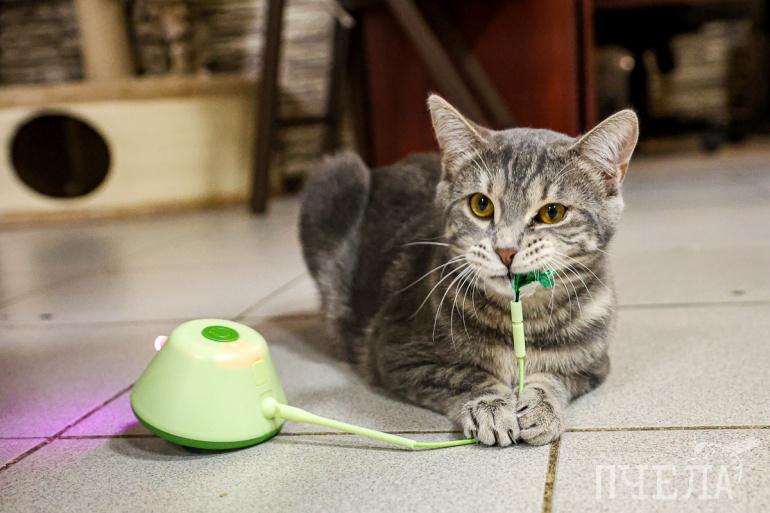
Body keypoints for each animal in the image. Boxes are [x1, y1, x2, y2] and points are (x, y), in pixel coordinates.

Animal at [299, 94, 638, 446]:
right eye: (481, 205)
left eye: (553, 213)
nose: (506, 251)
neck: (522, 320)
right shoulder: (395, 352)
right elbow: (463, 374)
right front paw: (491, 406)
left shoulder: (595, 363)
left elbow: (553, 376)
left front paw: (543, 408)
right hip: (337, 175)